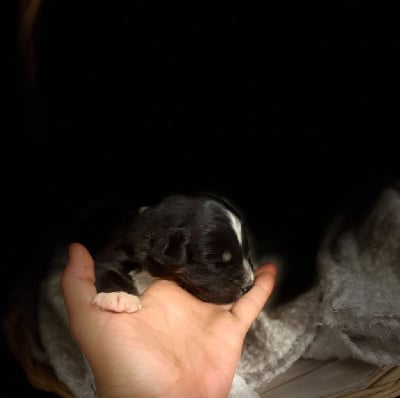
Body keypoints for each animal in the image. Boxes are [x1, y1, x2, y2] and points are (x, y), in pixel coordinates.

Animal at [90, 194, 255, 312]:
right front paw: (119, 296)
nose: (249, 286)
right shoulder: (117, 249)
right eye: (215, 260)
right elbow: (111, 270)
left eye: (247, 253)